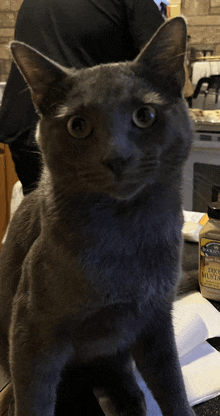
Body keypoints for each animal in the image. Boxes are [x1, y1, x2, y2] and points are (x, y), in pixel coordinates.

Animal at [0, 16, 195, 416]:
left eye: (145, 115)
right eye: (78, 126)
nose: (116, 157)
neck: (124, 233)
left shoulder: (155, 322)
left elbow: (172, 386)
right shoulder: (30, 330)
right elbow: (34, 398)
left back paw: (128, 397)